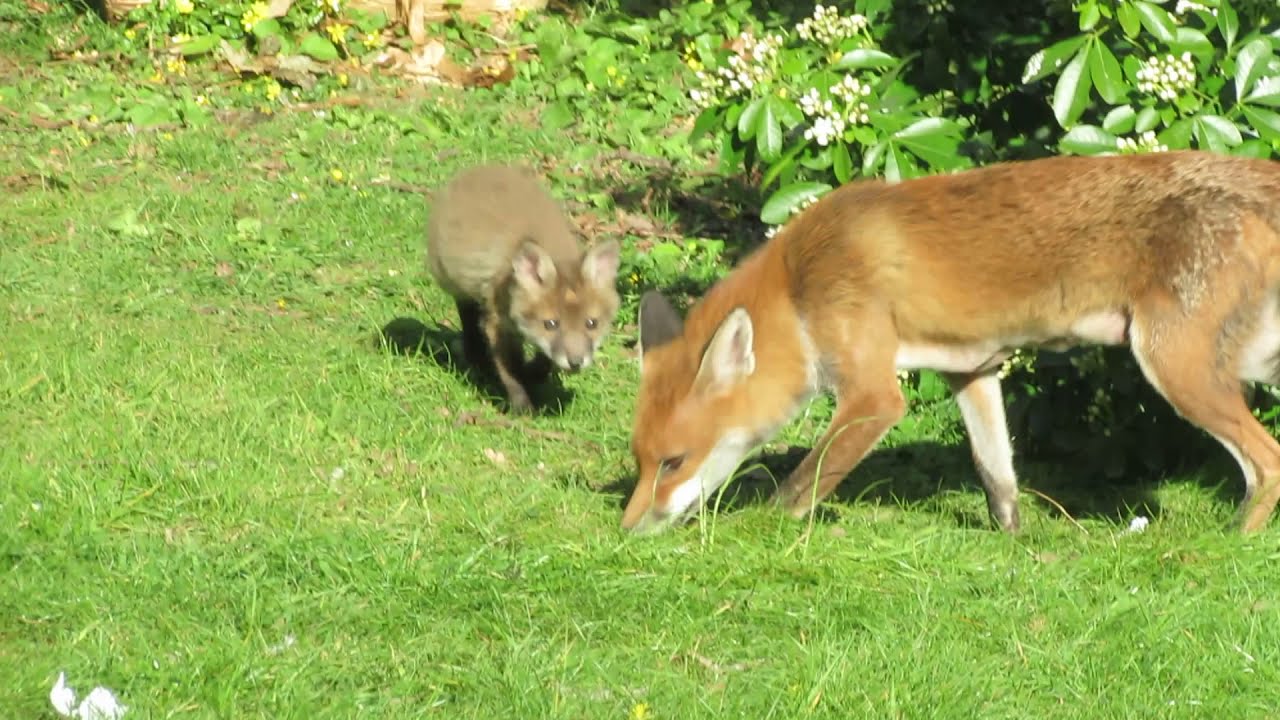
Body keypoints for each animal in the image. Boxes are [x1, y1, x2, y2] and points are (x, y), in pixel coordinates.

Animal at [425, 163, 621, 414]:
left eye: (591, 323)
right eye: (551, 324)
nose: (576, 362)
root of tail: (480, 169)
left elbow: (543, 361)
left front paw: (533, 375)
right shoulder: (497, 324)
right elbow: (510, 371)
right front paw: (522, 407)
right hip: (460, 287)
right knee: (469, 318)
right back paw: (477, 360)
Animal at [622, 149, 1280, 536]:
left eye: (674, 462)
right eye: (641, 462)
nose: (626, 531)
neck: (799, 280)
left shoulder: (874, 397)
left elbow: (797, 487)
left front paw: (751, 538)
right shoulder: (972, 370)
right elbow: (997, 477)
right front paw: (1016, 544)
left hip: (1174, 365)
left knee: (1266, 461)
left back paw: (1229, 547)